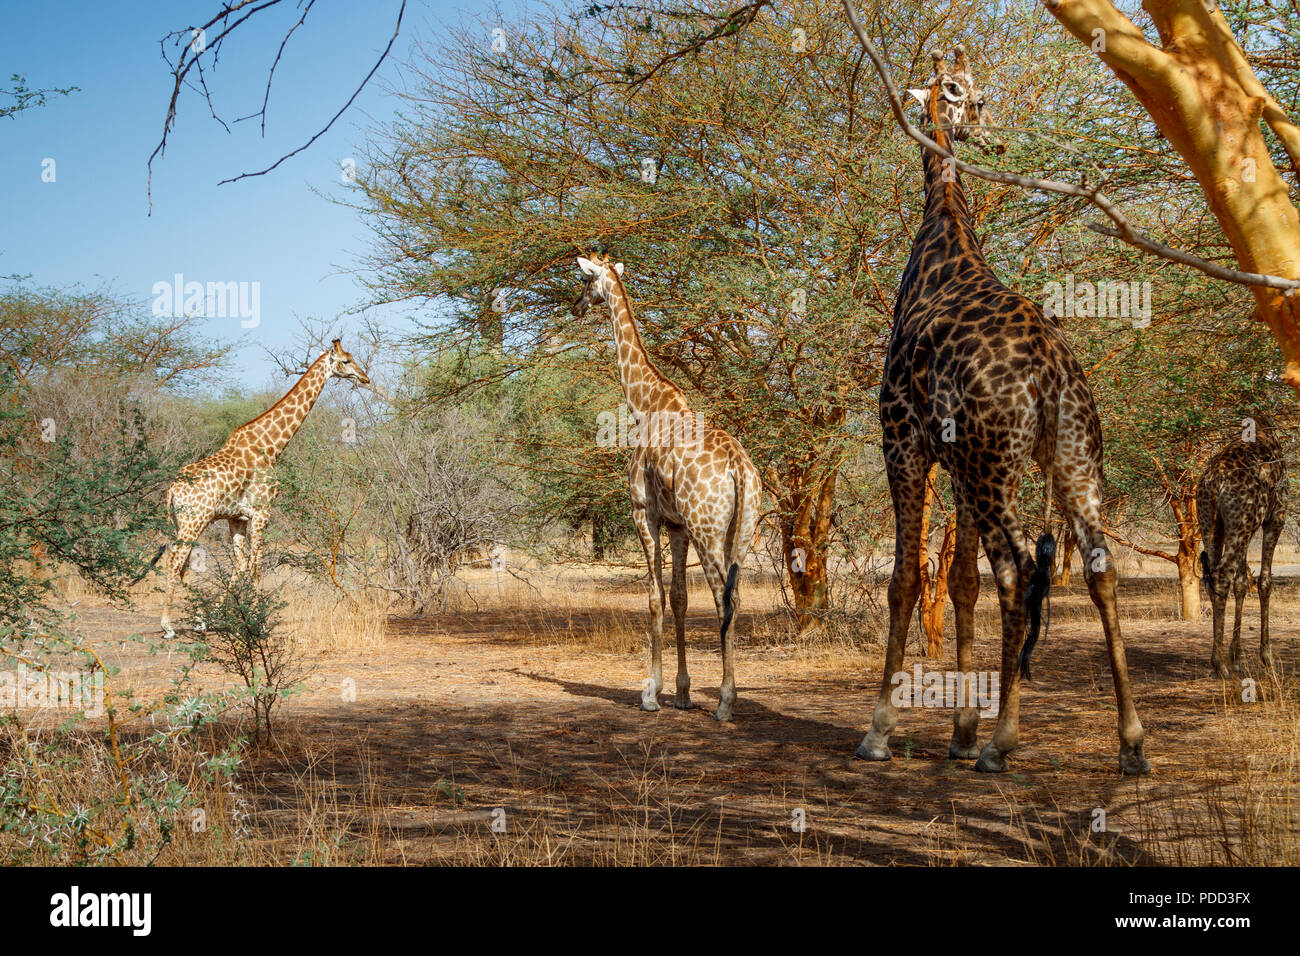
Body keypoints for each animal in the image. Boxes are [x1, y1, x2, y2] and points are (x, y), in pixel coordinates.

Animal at [143, 339, 370, 636]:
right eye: (345, 361)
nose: (365, 378)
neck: (271, 446)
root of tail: (172, 489)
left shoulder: (237, 518)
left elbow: (241, 564)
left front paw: (218, 614)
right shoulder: (263, 510)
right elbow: (256, 564)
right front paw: (257, 620)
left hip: (181, 522)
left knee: (182, 565)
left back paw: (199, 618)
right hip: (194, 520)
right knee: (175, 561)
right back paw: (168, 626)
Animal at [570, 254, 762, 721]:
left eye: (585, 280)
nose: (576, 306)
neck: (644, 406)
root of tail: (739, 469)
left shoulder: (645, 513)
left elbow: (655, 599)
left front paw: (651, 694)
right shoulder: (677, 526)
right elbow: (678, 600)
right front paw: (682, 692)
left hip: (708, 529)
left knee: (723, 600)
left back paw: (725, 703)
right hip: (740, 529)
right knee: (736, 597)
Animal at [855, 47, 1150, 774]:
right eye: (962, 92)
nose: (991, 137)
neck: (944, 238)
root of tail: (1049, 370)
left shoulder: (904, 441)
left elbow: (907, 578)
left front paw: (882, 731)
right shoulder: (956, 460)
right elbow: (960, 581)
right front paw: (958, 731)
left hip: (997, 467)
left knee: (1018, 570)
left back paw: (1003, 741)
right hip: (1070, 459)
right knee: (1099, 568)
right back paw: (1131, 743)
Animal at [1196, 417, 1288, 677]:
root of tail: (1215, 482)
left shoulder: (1247, 527)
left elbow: (1242, 583)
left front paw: (1236, 657)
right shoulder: (1276, 516)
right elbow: (1265, 581)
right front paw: (1267, 658)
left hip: (1214, 522)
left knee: (1212, 577)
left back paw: (1220, 661)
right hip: (1242, 523)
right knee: (1221, 576)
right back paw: (1219, 665)